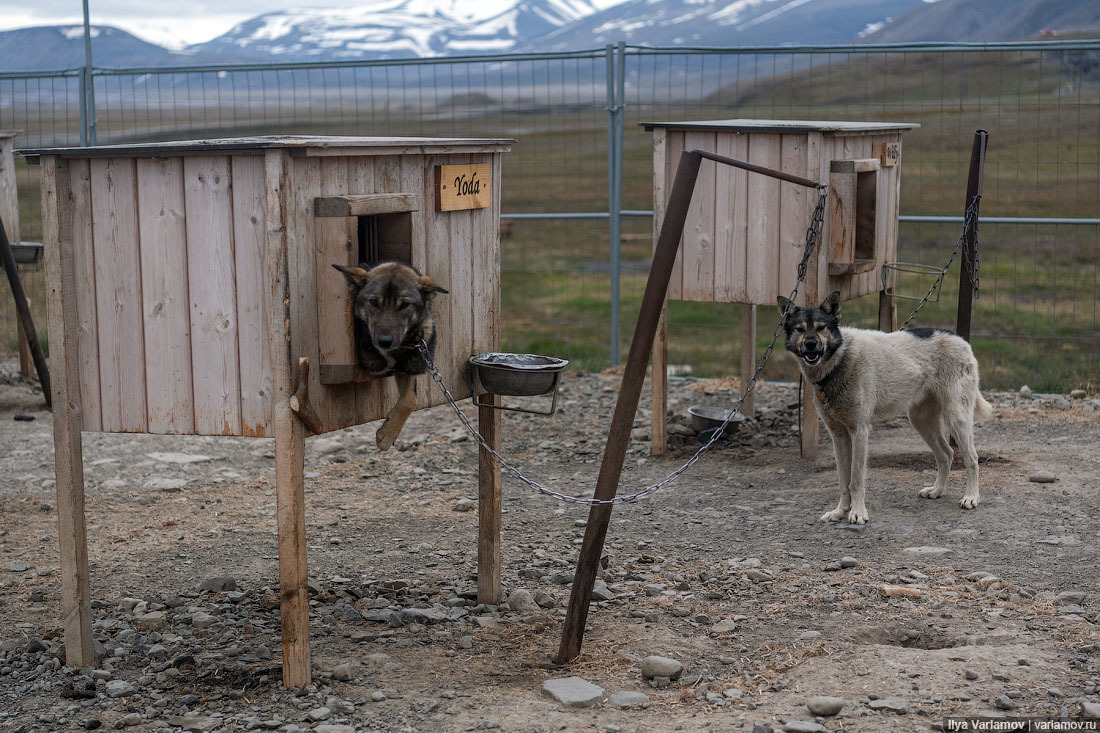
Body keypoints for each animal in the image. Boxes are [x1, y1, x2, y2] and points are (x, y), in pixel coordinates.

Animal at [330, 259, 446, 449]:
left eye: (404, 305)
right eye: (373, 302)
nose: (385, 341)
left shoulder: (409, 366)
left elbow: (410, 400)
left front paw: (388, 433)